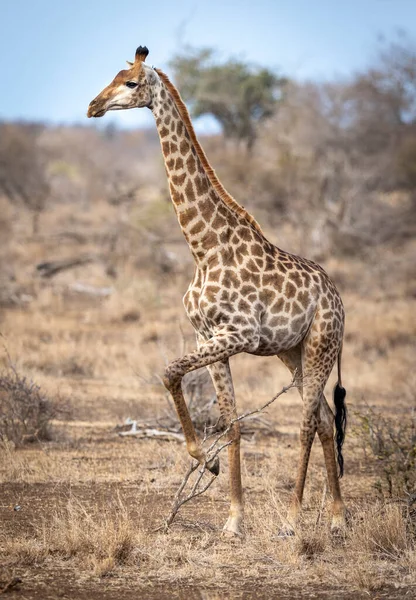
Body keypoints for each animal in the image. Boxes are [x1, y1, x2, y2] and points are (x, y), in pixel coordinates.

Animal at [88, 44, 348, 536]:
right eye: (110, 77)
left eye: (130, 83)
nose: (93, 106)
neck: (202, 247)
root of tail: (339, 301)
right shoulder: (209, 336)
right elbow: (231, 425)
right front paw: (233, 517)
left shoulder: (238, 335)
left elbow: (169, 371)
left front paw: (204, 463)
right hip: (293, 352)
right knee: (325, 419)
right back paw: (338, 519)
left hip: (322, 344)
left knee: (307, 422)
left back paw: (294, 519)